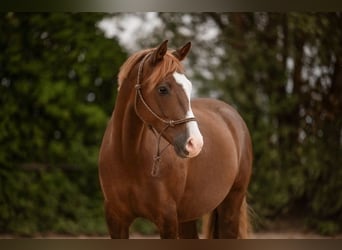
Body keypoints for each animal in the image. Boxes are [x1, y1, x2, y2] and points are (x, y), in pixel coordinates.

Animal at [97, 40, 252, 239]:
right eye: (162, 89)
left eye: (189, 86)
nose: (195, 143)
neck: (128, 156)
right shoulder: (116, 220)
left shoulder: (167, 220)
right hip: (188, 214)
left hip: (231, 204)